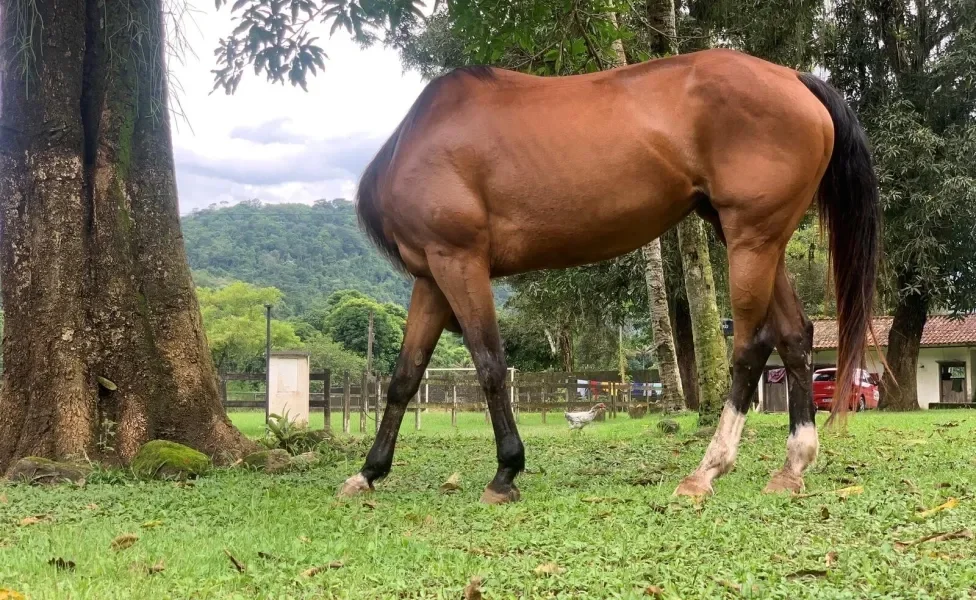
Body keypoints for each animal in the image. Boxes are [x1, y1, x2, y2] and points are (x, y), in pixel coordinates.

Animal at [340, 49, 880, 504]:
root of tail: (793, 78)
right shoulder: (431, 276)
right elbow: (404, 377)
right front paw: (368, 472)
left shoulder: (459, 261)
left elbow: (490, 365)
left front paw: (506, 472)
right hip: (761, 241)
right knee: (794, 336)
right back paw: (792, 466)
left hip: (751, 240)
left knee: (751, 345)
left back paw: (707, 470)